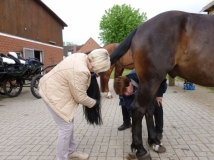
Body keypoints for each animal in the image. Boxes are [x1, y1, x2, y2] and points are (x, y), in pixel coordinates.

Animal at [109, 10, 214, 159]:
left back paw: (154, 141)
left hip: (154, 82)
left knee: (149, 109)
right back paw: (140, 149)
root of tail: (140, 28)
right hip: (151, 80)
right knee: (138, 108)